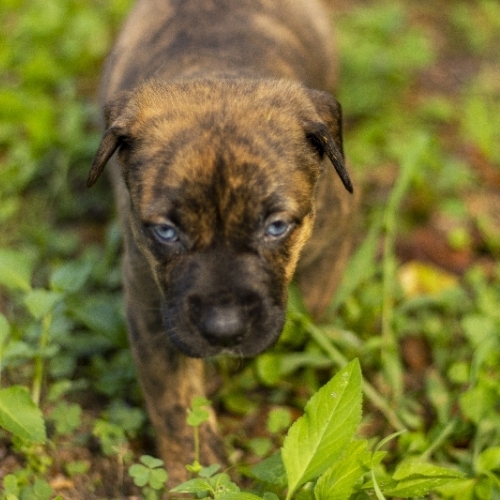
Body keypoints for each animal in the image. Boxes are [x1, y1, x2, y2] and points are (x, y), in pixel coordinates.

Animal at [87, 0, 356, 486]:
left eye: (276, 227)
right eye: (166, 232)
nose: (224, 330)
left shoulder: (333, 237)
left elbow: (309, 309)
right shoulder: (150, 306)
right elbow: (174, 400)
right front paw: (194, 472)